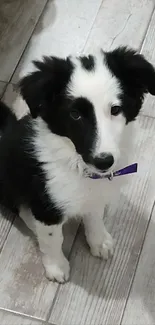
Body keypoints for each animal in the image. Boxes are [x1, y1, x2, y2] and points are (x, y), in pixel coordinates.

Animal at [0, 45, 155, 280]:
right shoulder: (46, 205)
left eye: (115, 109)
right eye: (74, 114)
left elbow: (94, 216)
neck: (77, 166)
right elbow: (53, 238)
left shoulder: (96, 194)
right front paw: (56, 267)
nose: (104, 161)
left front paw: (99, 241)